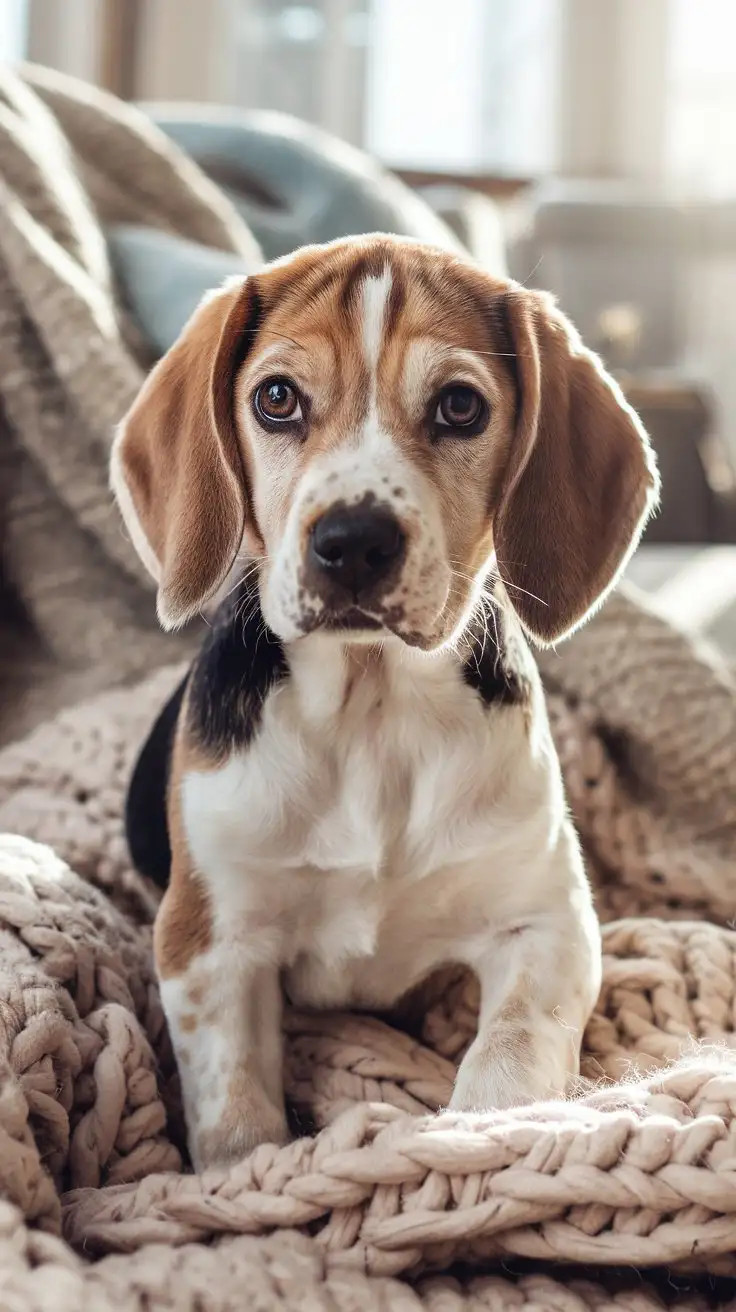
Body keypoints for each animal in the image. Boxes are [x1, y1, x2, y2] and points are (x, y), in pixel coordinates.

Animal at [112, 233, 655, 1170]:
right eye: (278, 399)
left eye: (461, 407)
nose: (354, 541)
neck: (371, 715)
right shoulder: (209, 943)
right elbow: (237, 1117)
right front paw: (244, 1175)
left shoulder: (550, 924)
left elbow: (510, 1054)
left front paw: (489, 1137)